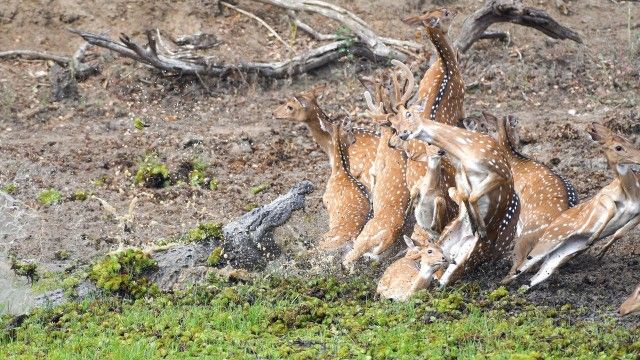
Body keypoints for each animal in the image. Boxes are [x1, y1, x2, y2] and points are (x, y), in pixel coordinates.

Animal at [504, 124, 640, 290]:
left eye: (630, 140)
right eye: (618, 147)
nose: (639, 157)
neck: (631, 193)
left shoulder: (637, 213)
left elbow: (619, 232)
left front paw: (599, 251)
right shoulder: (603, 195)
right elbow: (611, 209)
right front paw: (593, 239)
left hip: (559, 253)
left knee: (538, 273)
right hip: (548, 240)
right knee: (519, 268)